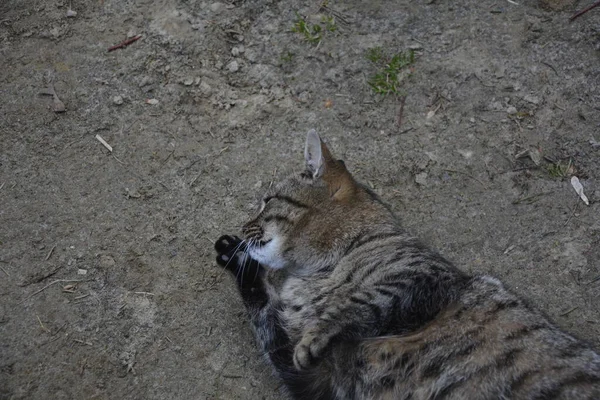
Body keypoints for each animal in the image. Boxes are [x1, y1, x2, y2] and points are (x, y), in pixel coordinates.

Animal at [216, 130, 600, 398]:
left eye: (267, 200)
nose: (243, 226)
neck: (320, 271)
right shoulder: (317, 380)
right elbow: (265, 318)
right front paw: (237, 259)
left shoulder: (423, 280)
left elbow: (360, 304)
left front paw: (317, 333)